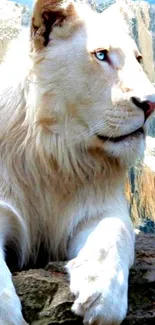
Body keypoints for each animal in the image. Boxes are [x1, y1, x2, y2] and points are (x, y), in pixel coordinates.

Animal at [0, 0, 154, 324]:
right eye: (101, 55)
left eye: (138, 58)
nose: (151, 104)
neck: (56, 155)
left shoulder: (103, 204)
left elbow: (115, 233)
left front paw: (101, 297)